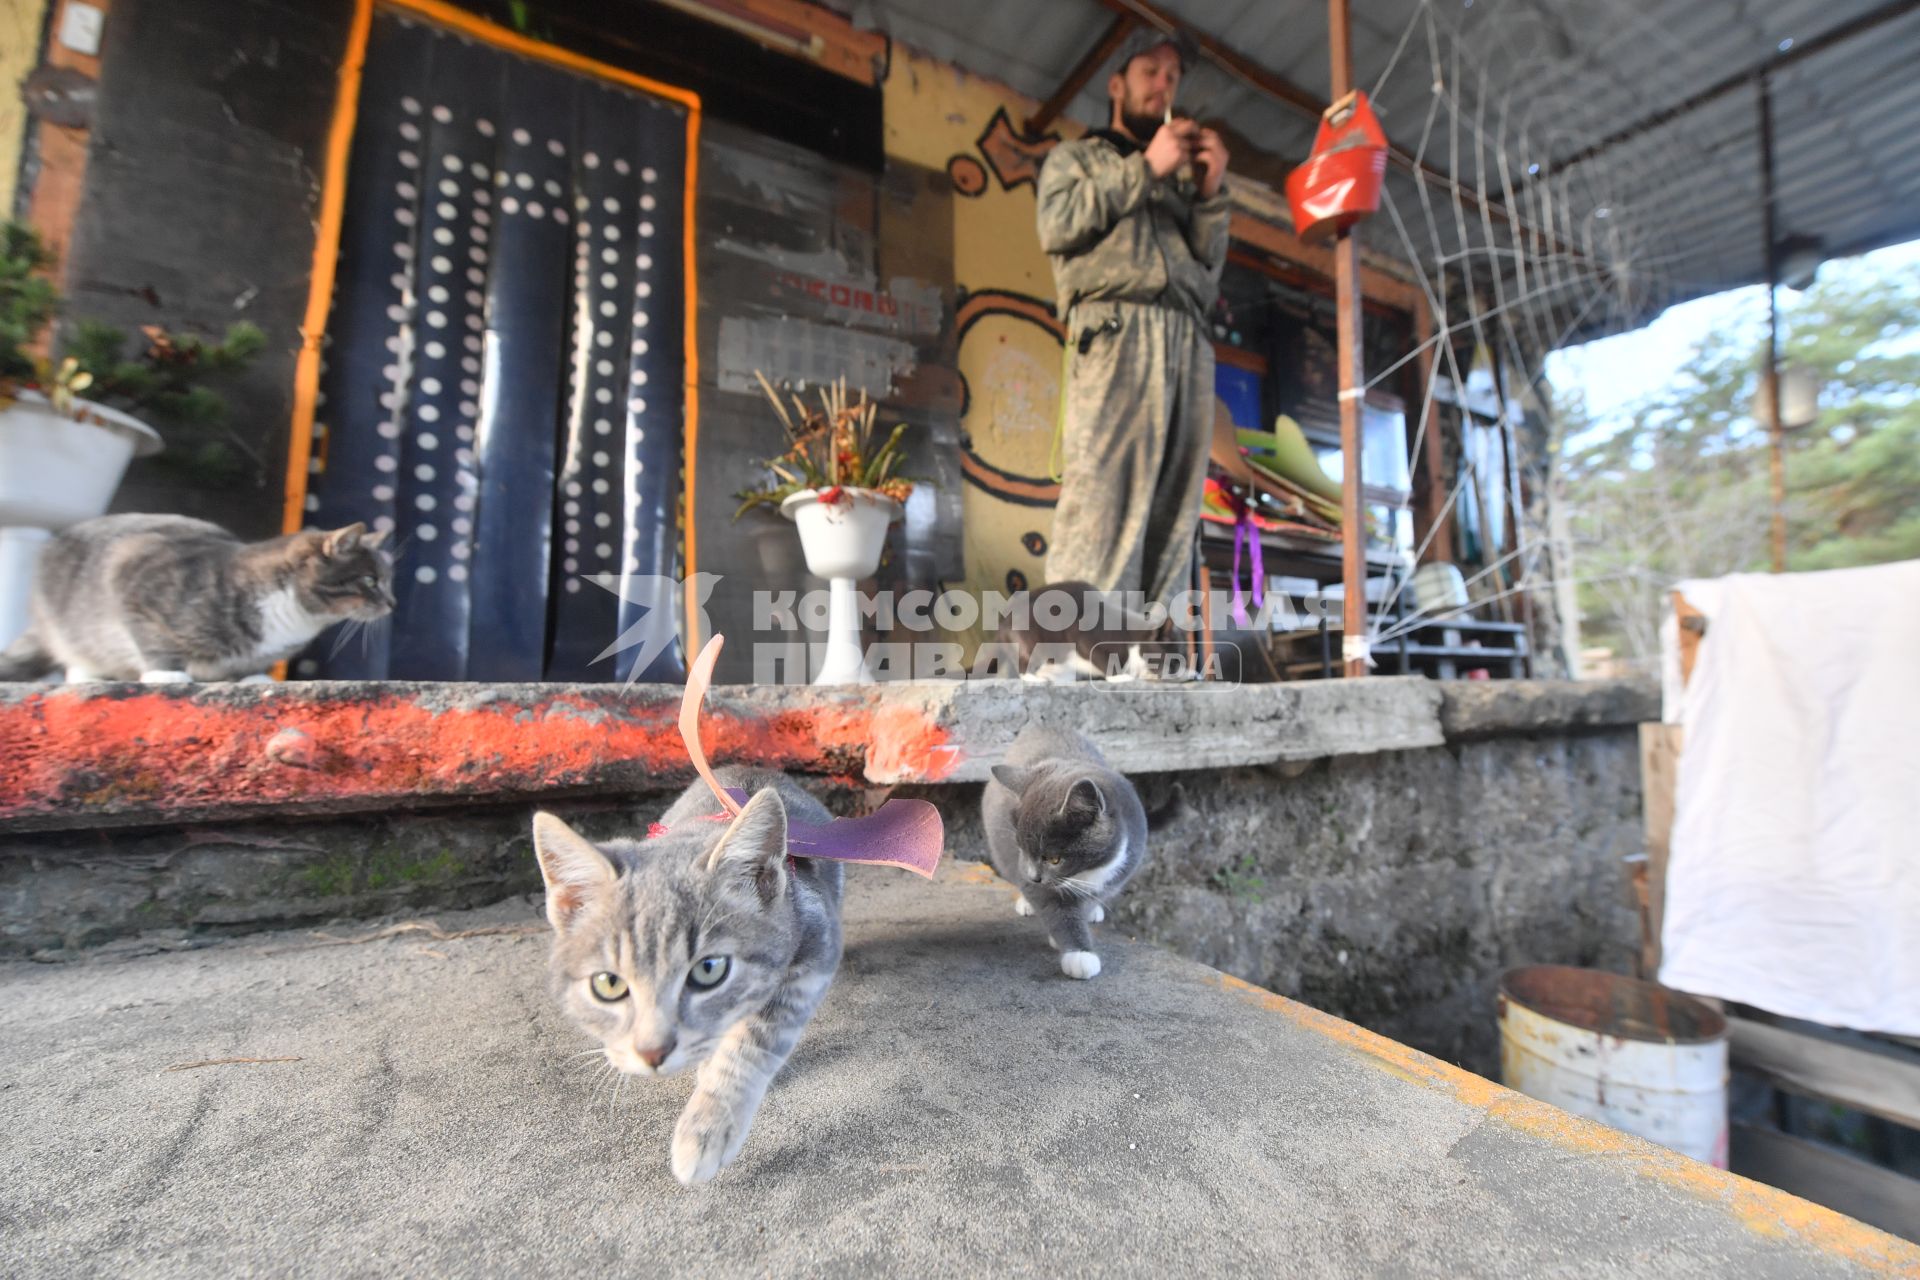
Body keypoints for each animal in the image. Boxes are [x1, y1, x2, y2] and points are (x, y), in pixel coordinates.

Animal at [0, 514, 391, 687]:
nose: (393, 604)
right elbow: (150, 638)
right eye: (370, 580)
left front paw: (253, 677)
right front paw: (164, 673)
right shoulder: (132, 574)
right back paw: (88, 674)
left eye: (387, 580)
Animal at [537, 767, 844, 1189]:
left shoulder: (814, 954)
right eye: (608, 984)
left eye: (708, 970)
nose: (652, 1052)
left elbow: (751, 1043)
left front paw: (707, 1127)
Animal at [990, 725, 1182, 990]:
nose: (1033, 876)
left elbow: (1091, 897)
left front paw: (1085, 914)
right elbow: (1055, 907)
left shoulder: (1121, 868)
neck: (1085, 872)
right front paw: (1079, 955)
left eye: (1054, 859)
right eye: (1021, 849)